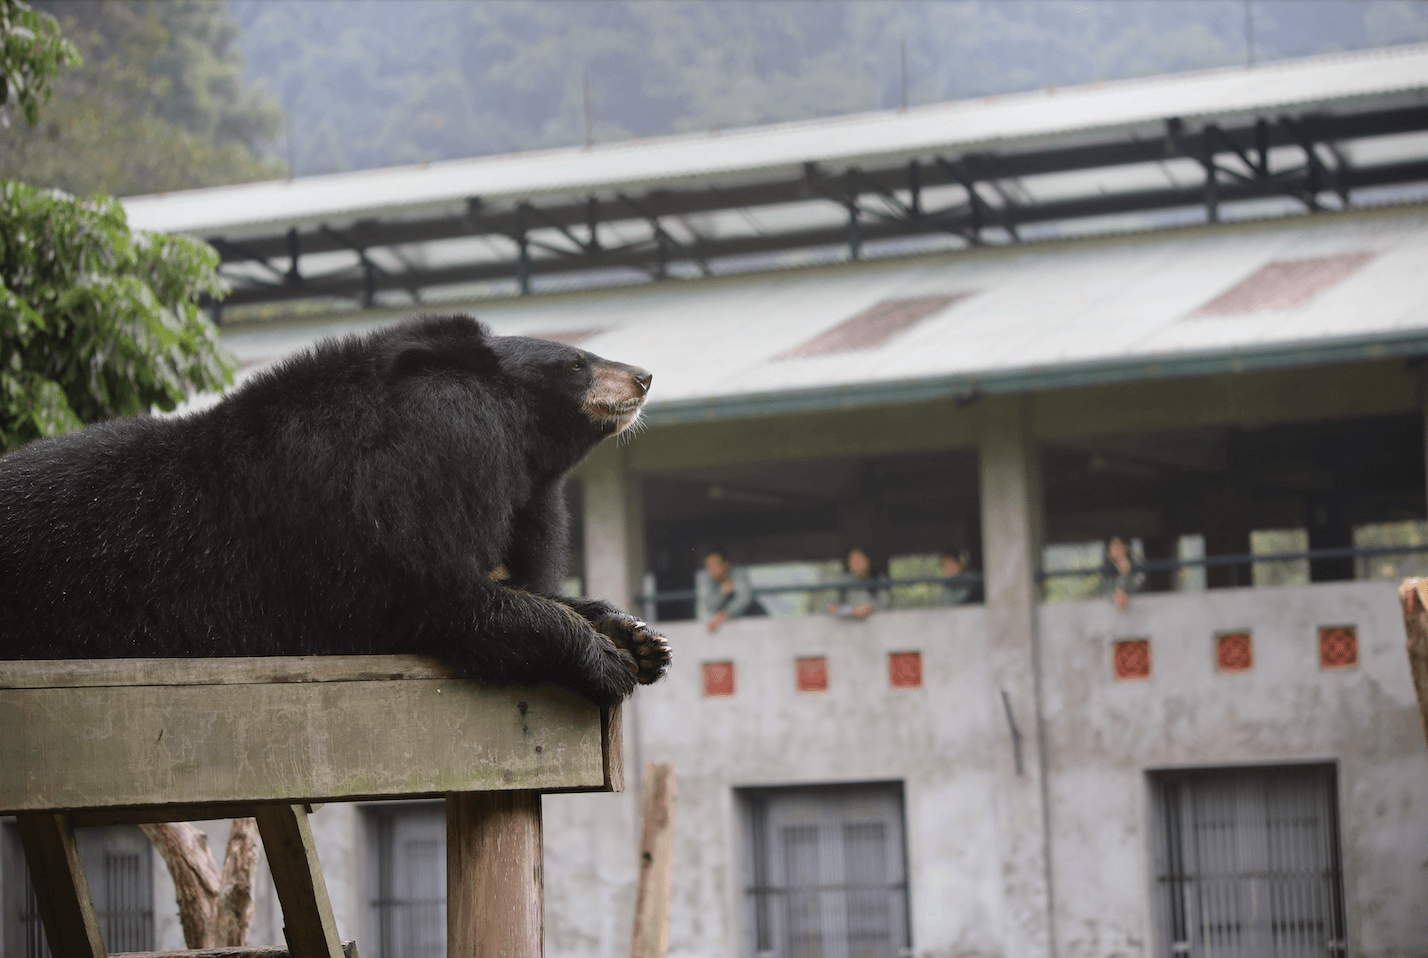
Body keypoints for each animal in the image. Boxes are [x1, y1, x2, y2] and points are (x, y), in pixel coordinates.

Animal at [0, 312, 671, 705]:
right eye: (577, 363)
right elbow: (448, 596)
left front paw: (639, 638)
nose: (644, 376)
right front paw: (604, 658)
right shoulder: (370, 522)